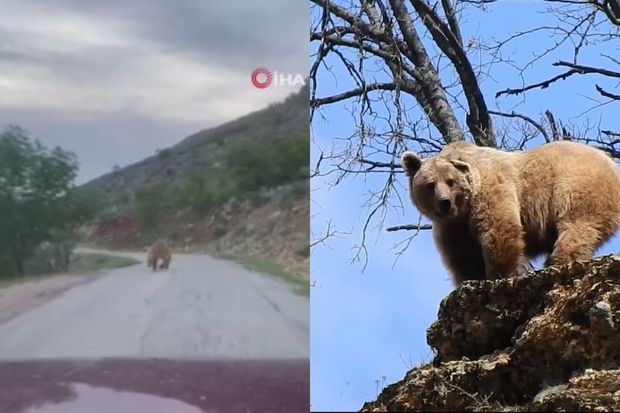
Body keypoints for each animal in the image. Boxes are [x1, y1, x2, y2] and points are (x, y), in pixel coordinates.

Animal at [402, 140, 620, 284]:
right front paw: (470, 279)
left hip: (577, 184)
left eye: (450, 181)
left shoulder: (491, 189)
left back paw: (559, 261)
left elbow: (498, 229)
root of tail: (611, 163)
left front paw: (497, 276)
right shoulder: (452, 228)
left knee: (578, 225)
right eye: (430, 185)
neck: (463, 209)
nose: (444, 203)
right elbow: (463, 256)